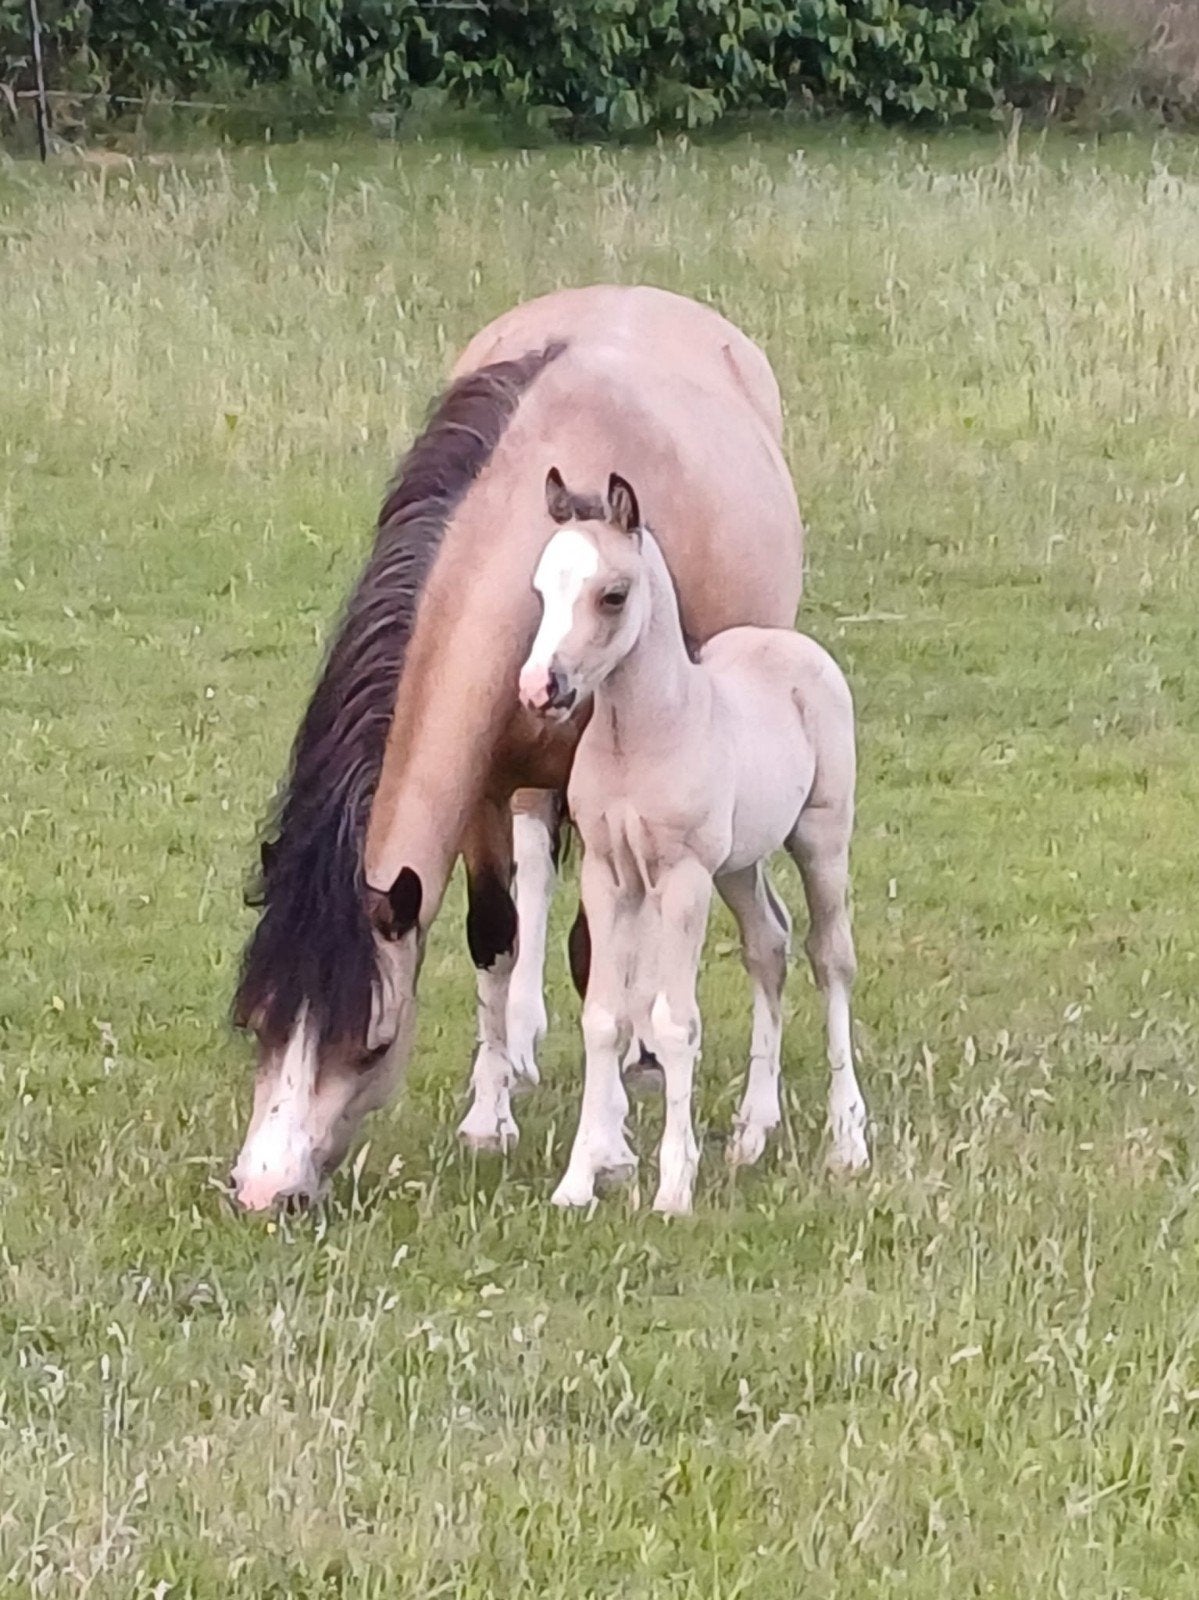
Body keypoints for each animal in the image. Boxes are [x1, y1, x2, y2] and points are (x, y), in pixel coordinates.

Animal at [230, 284, 804, 1212]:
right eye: (256, 1024)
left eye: (372, 1044)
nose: (261, 1190)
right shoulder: (481, 792)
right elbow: (493, 933)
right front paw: (488, 1115)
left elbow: (595, 957)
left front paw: (608, 1143)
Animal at [518, 470, 869, 1215]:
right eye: (540, 589)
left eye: (612, 595)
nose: (539, 688)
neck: (640, 737)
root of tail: (794, 647)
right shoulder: (608, 874)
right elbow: (603, 1018)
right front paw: (576, 1182)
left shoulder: (679, 878)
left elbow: (674, 1023)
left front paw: (674, 1187)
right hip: (737, 865)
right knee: (769, 946)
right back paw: (751, 1133)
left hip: (820, 839)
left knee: (831, 959)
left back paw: (848, 1141)